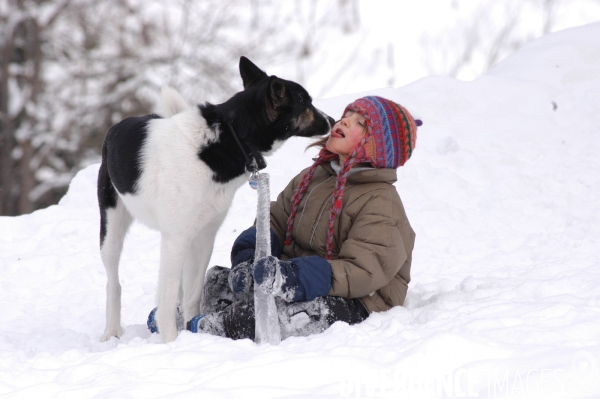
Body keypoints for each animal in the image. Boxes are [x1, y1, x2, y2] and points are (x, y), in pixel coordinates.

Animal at [96, 57, 336, 344]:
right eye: (306, 102)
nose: (333, 120)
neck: (230, 137)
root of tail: (114, 130)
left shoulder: (203, 237)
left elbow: (191, 296)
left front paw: (192, 333)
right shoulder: (176, 238)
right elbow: (167, 303)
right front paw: (171, 342)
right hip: (112, 228)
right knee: (113, 282)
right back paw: (111, 331)